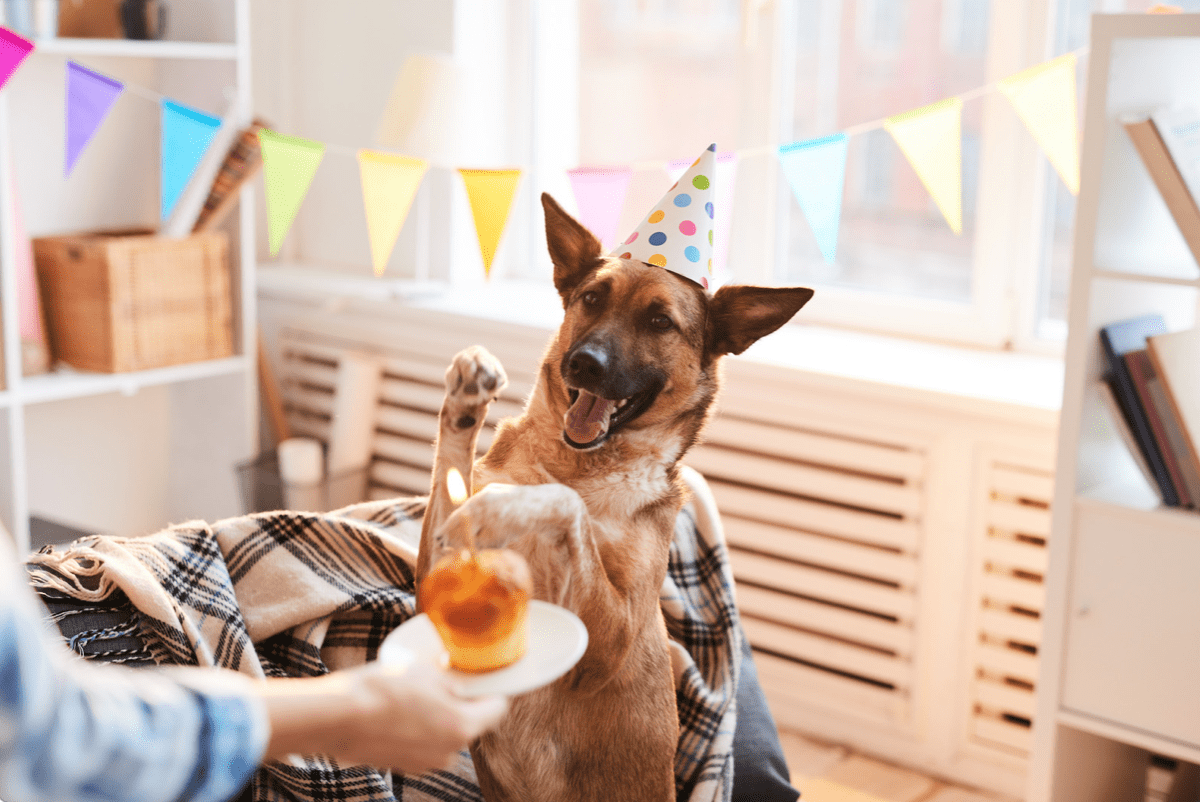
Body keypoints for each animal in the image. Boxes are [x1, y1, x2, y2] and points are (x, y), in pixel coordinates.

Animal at [415, 195, 816, 802]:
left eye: (659, 321)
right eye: (591, 299)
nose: (583, 363)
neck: (580, 465)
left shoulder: (610, 641)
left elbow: (566, 506)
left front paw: (515, 503)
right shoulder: (436, 578)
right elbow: (453, 469)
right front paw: (465, 402)